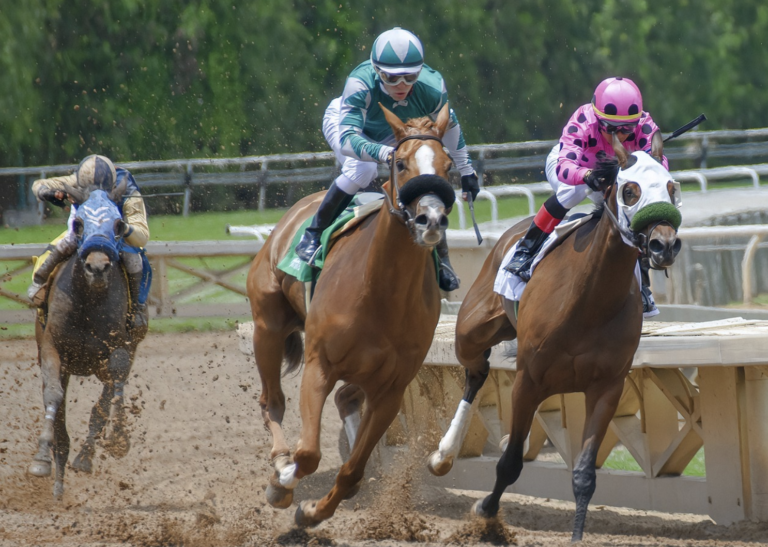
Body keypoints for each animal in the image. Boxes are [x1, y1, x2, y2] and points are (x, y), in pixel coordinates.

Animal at [27, 178, 144, 499]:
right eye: (78, 223)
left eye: (118, 224)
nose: (98, 267)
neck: (87, 304)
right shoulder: (52, 349)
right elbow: (53, 397)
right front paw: (42, 460)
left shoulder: (119, 349)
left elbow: (110, 392)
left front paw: (117, 438)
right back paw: (57, 478)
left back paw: (85, 456)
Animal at [246, 102, 457, 527]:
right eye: (401, 164)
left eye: (448, 165)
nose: (431, 220)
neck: (380, 292)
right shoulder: (319, 365)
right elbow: (309, 453)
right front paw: (285, 482)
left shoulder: (392, 387)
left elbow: (352, 469)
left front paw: (314, 511)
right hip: (267, 328)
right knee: (271, 401)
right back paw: (280, 466)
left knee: (345, 399)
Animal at [427, 134, 682, 542]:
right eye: (630, 190)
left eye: (672, 188)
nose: (664, 244)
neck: (589, 301)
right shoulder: (528, 381)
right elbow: (510, 463)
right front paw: (486, 514)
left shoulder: (606, 388)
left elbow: (584, 474)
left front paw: (577, 535)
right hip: (471, 330)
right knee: (475, 373)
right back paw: (443, 454)